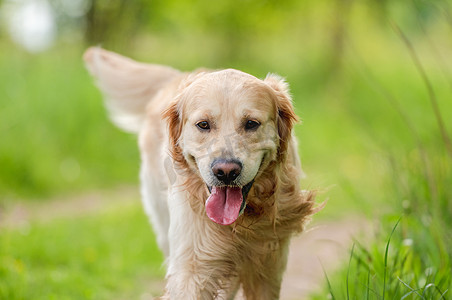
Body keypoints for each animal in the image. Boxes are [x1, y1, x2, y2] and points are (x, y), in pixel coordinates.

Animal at [85, 47, 318, 300]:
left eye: (251, 123)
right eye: (203, 124)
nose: (226, 171)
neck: (243, 220)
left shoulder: (269, 264)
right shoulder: (193, 264)